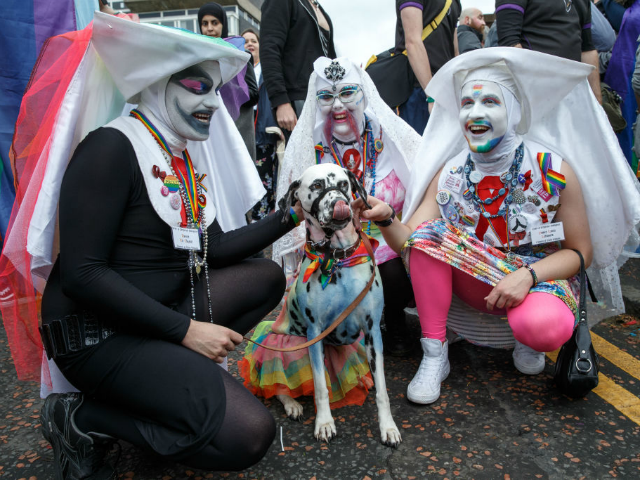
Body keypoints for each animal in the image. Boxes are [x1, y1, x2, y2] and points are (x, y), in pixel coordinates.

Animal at [278, 164, 400, 446]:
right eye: (316, 186)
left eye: (344, 184)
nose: (339, 204)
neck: (337, 259)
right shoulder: (314, 334)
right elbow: (320, 387)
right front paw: (324, 423)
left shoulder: (372, 333)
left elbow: (382, 390)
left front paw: (388, 427)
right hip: (294, 343)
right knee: (277, 386)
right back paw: (292, 404)